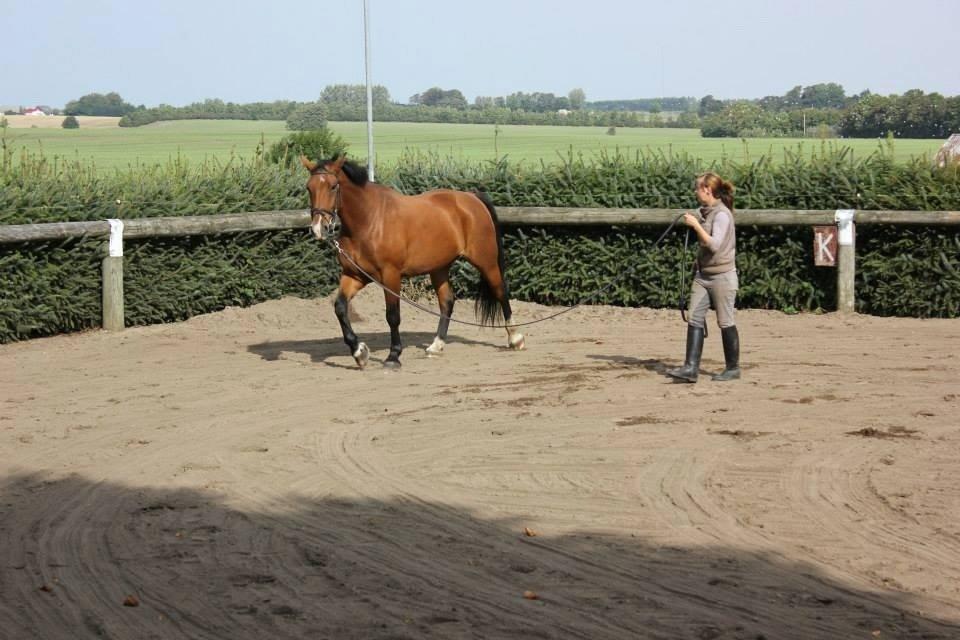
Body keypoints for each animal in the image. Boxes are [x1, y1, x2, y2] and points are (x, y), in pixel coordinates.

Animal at [300, 152, 524, 368]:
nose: (319, 228)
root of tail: (472, 198)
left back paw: (516, 339)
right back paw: (436, 346)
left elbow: (393, 316)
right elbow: (340, 308)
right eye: (309, 187)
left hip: (486, 261)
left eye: (333, 186)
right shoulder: (354, 275)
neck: (370, 221)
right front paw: (359, 353)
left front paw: (393, 356)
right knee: (447, 301)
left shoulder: (390, 276)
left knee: (500, 291)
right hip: (439, 267)